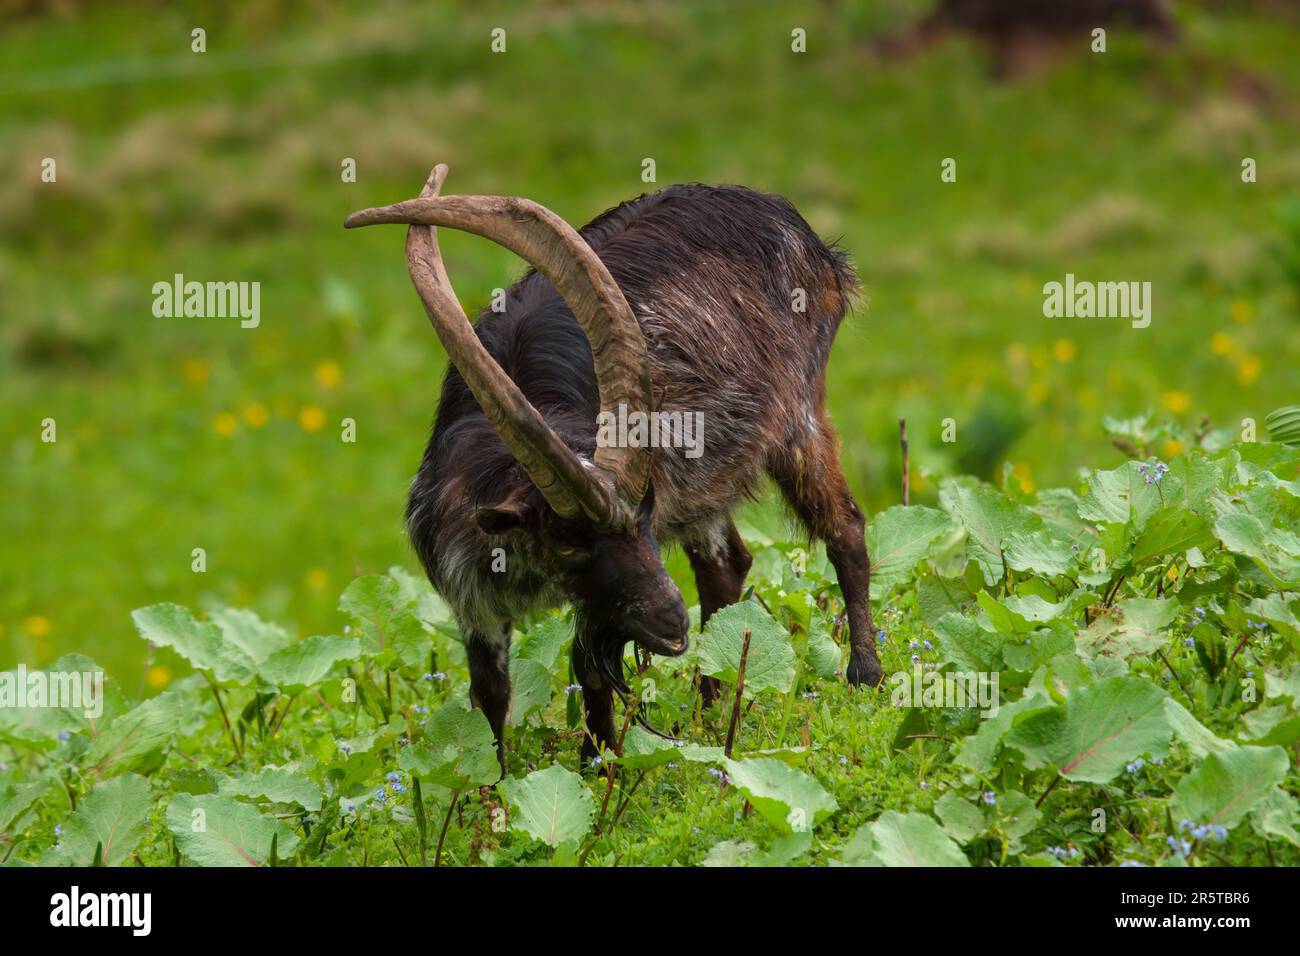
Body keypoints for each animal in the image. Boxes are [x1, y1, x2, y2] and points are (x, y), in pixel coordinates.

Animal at [345, 166, 883, 770]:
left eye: (643, 518)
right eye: (567, 544)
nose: (672, 624)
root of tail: (803, 232)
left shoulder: (608, 598)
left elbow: (589, 669)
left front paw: (599, 767)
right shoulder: (475, 600)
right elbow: (489, 696)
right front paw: (493, 786)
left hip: (797, 415)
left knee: (845, 527)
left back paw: (864, 676)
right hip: (705, 487)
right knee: (726, 565)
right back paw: (707, 711)